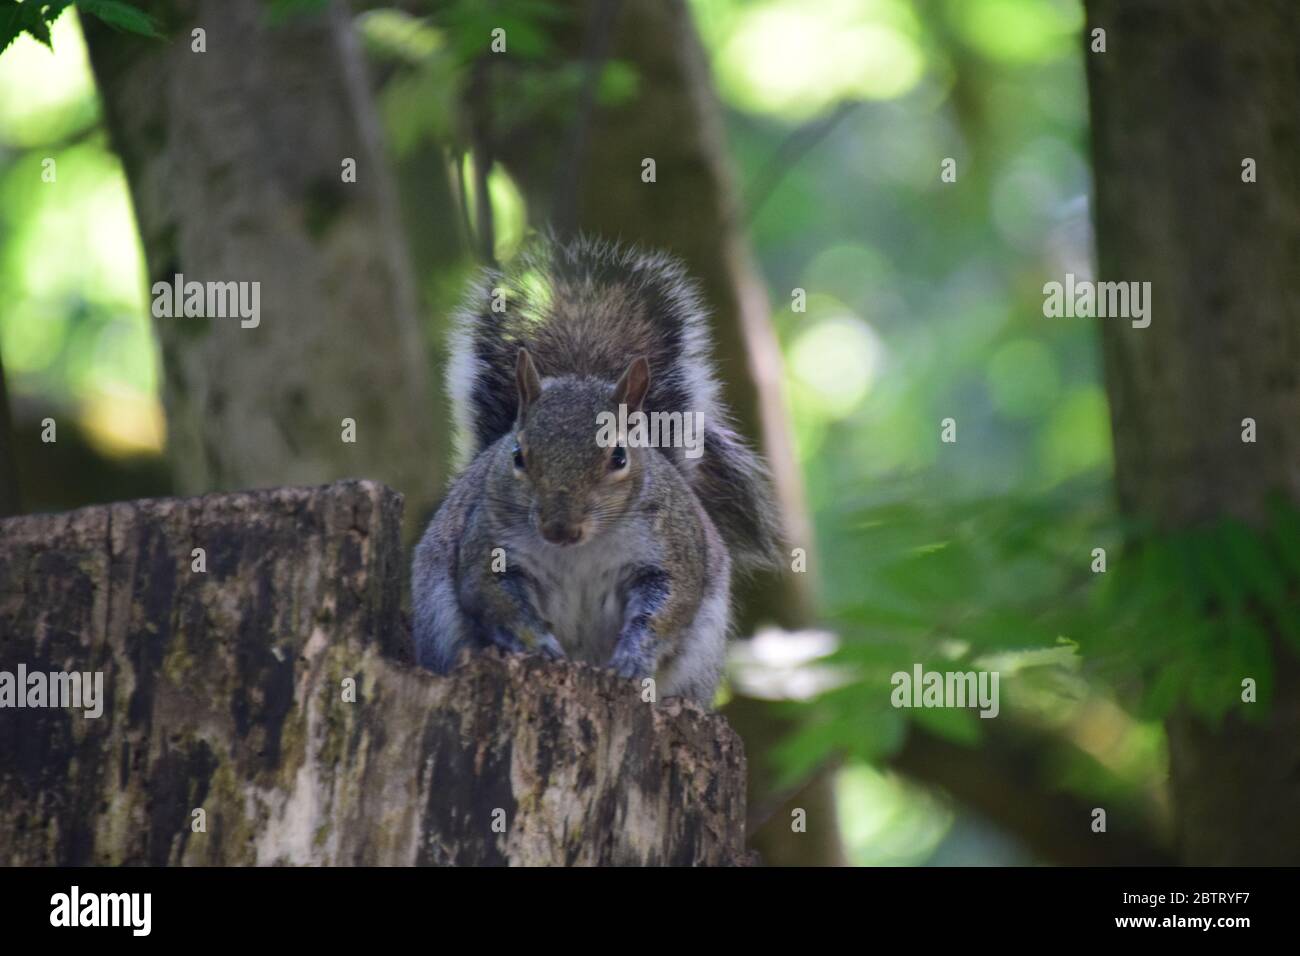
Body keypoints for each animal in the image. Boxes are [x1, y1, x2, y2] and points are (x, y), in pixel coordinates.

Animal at [413, 234, 780, 702]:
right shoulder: (489, 550)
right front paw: (540, 646)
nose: (560, 528)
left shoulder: (669, 552)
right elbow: (498, 600)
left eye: (619, 457)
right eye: (518, 455)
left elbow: (667, 606)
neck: (580, 551)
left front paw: (634, 658)